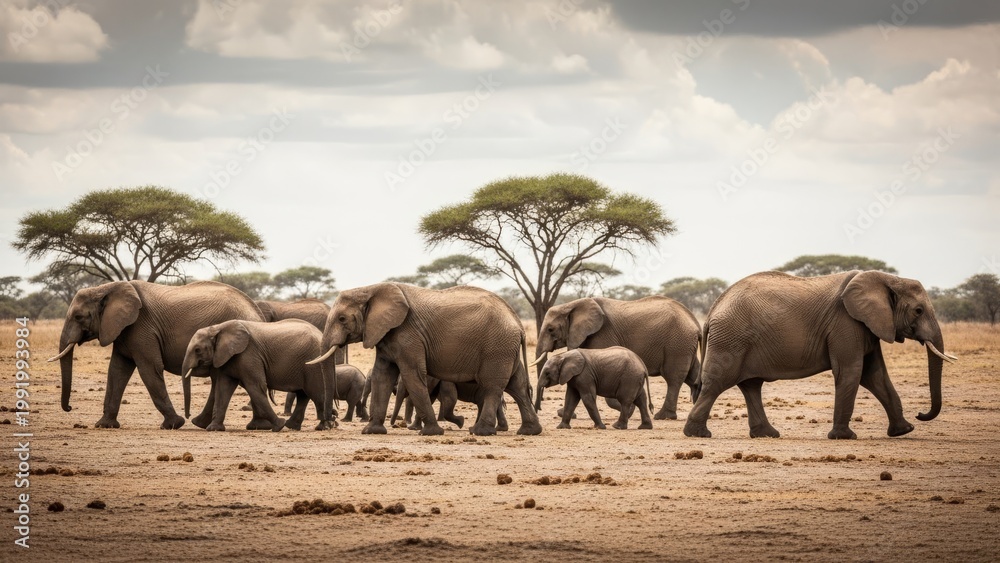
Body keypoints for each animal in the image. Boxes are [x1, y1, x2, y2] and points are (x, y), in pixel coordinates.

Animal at [48, 280, 264, 429]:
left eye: (78, 317)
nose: (69, 408)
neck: (107, 287)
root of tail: (257, 313)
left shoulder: (141, 328)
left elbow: (149, 369)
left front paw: (173, 424)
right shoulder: (123, 330)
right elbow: (117, 371)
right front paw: (104, 425)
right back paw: (203, 423)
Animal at [181, 319, 337, 432]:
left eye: (197, 350)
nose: (188, 416)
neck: (217, 328)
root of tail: (321, 334)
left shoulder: (248, 354)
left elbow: (255, 386)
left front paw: (278, 425)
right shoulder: (228, 357)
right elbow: (223, 388)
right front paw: (213, 429)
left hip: (313, 363)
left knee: (315, 392)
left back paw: (322, 427)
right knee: (303, 395)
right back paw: (292, 426)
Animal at [308, 282, 542, 436]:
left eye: (342, 319)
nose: (329, 423)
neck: (370, 288)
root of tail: (518, 324)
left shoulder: (408, 334)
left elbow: (412, 375)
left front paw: (431, 432)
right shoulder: (385, 333)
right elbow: (382, 376)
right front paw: (371, 431)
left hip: (497, 347)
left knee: (493, 386)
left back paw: (478, 431)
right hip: (505, 348)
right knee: (518, 386)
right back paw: (529, 431)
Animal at [534, 296, 701, 420]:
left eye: (550, 330)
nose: (539, 408)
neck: (572, 305)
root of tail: (695, 322)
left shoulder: (602, 335)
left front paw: (630, 409)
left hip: (677, 344)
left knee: (673, 378)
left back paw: (663, 416)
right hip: (685, 345)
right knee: (692, 375)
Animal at [683, 270, 956, 440]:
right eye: (918, 311)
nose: (920, 414)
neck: (885, 278)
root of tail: (713, 309)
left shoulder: (866, 326)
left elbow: (875, 375)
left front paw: (904, 431)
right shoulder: (846, 323)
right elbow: (852, 372)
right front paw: (844, 437)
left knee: (751, 386)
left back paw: (767, 434)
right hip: (731, 340)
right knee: (717, 383)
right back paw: (697, 434)